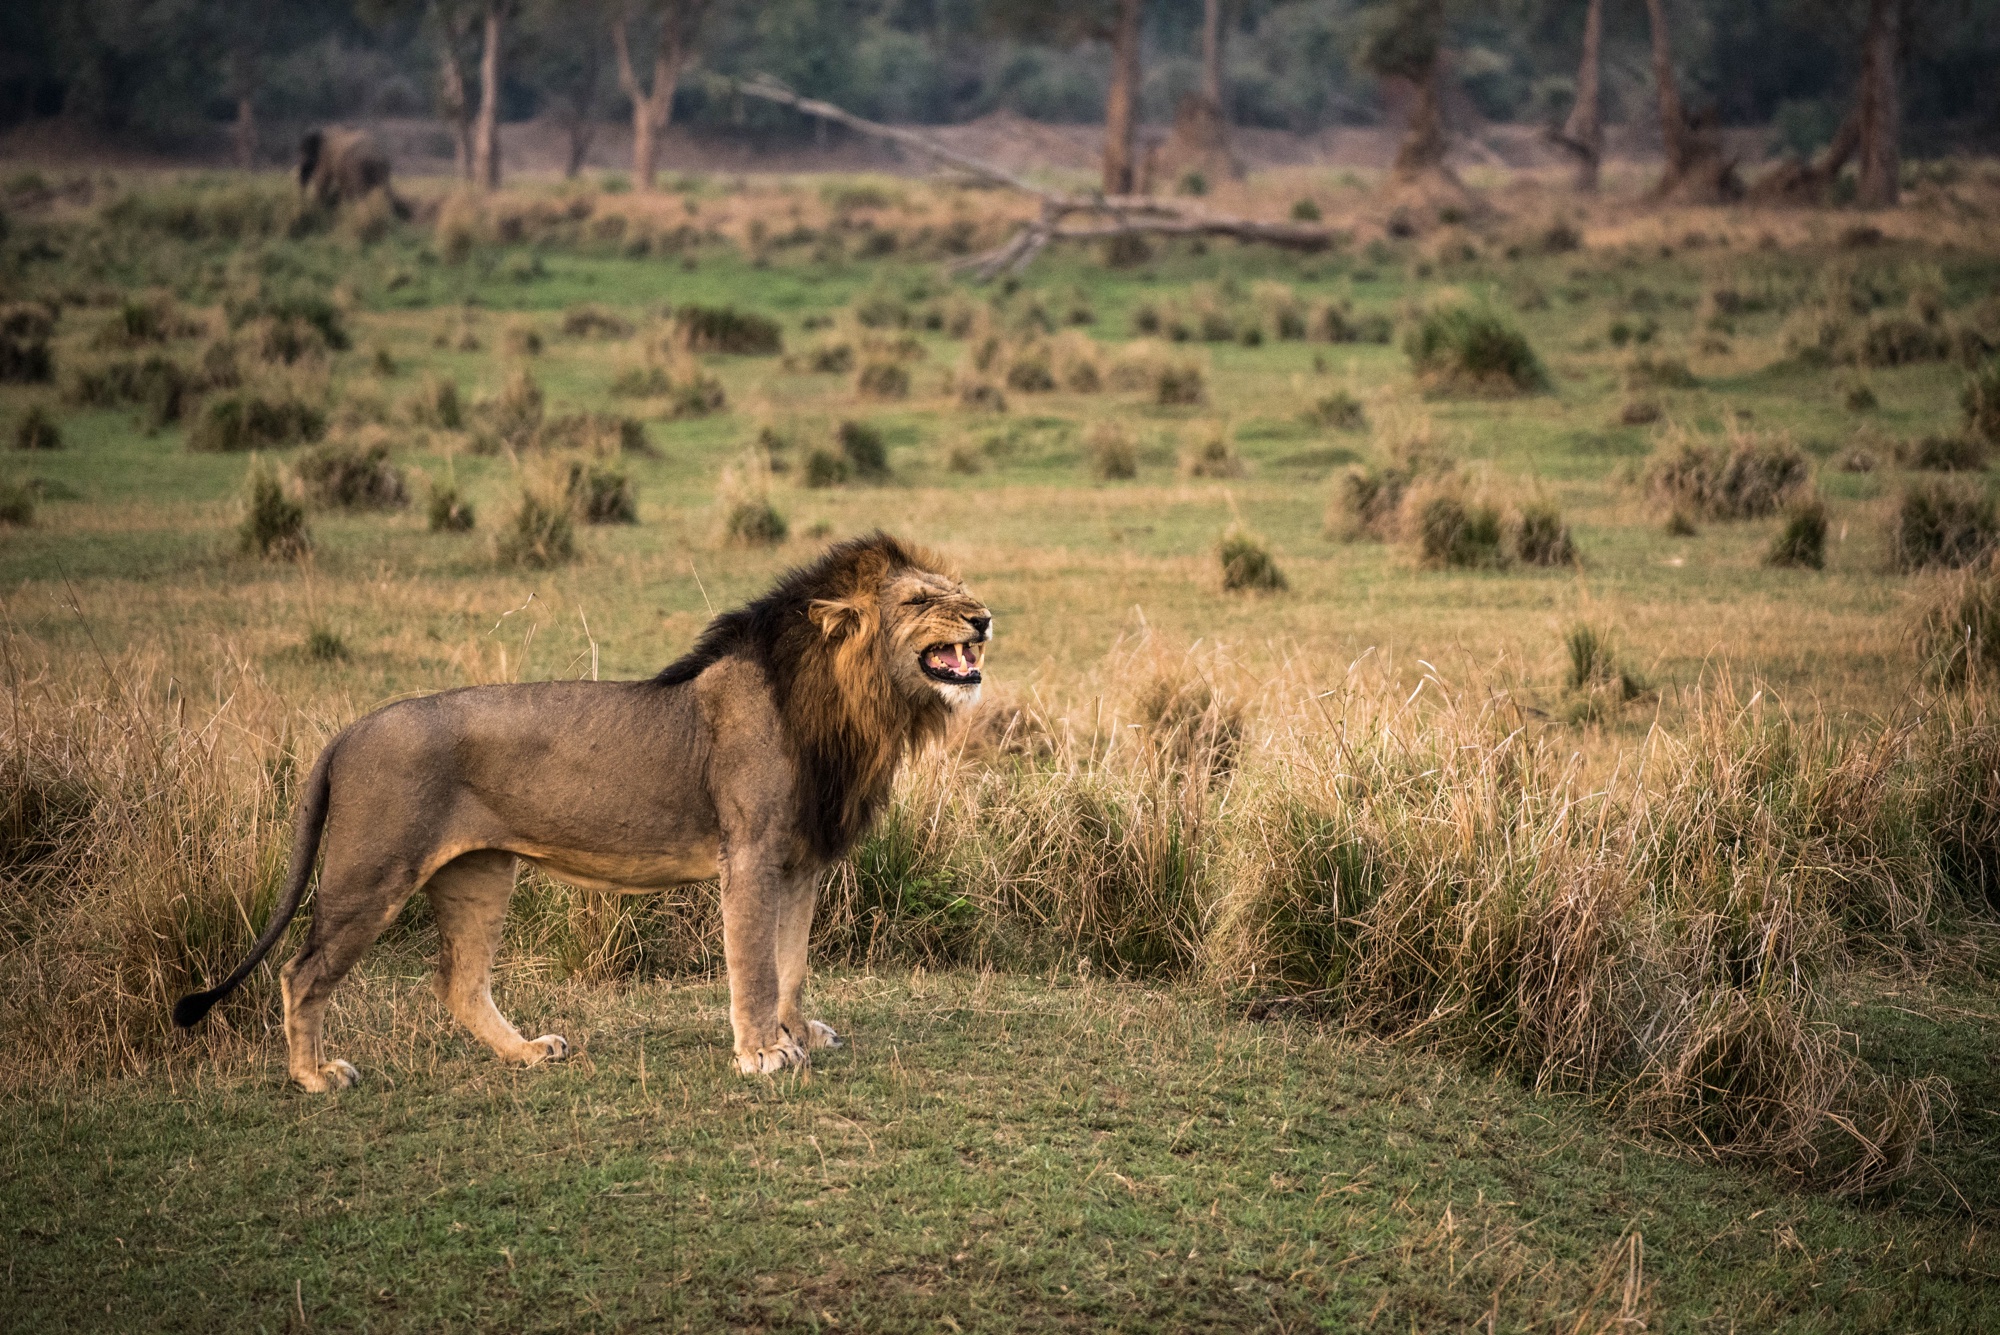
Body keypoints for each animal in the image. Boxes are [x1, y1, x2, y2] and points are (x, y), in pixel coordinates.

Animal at [173, 533, 991, 1091]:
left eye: (958, 590)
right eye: (920, 602)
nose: (985, 617)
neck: (852, 706)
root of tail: (346, 732)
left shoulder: (799, 862)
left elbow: (791, 963)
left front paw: (798, 1033)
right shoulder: (752, 854)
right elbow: (756, 965)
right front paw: (762, 1052)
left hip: (479, 873)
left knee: (458, 982)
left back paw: (529, 1051)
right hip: (370, 872)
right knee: (301, 970)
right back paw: (315, 1076)